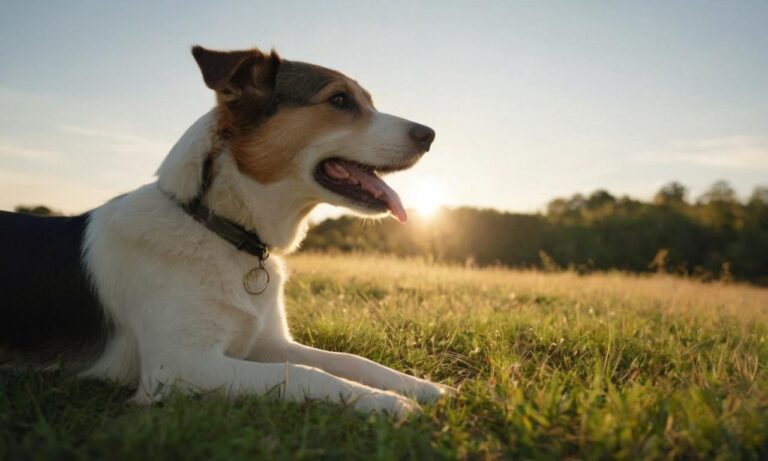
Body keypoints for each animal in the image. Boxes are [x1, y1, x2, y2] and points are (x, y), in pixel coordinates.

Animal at [0, 46, 450, 416]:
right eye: (339, 100)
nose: (430, 135)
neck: (216, 225)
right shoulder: (180, 367)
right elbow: (303, 373)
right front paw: (386, 402)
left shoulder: (267, 342)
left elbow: (347, 360)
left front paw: (420, 386)